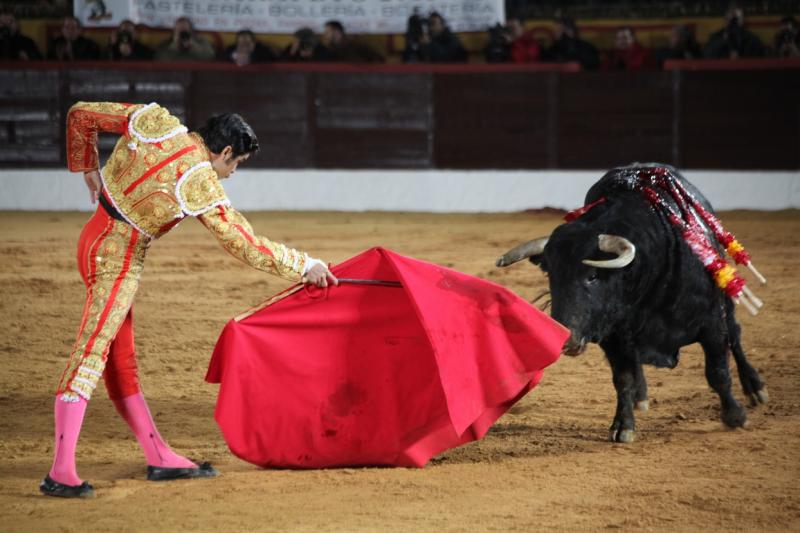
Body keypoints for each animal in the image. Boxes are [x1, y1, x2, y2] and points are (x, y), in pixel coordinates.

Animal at [500, 164, 768, 442]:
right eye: (550, 274)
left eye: (592, 276)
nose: (565, 337)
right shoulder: (612, 336)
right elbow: (623, 379)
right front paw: (623, 425)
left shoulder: (711, 322)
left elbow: (718, 372)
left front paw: (734, 415)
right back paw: (641, 396)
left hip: (725, 301)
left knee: (735, 335)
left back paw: (755, 388)